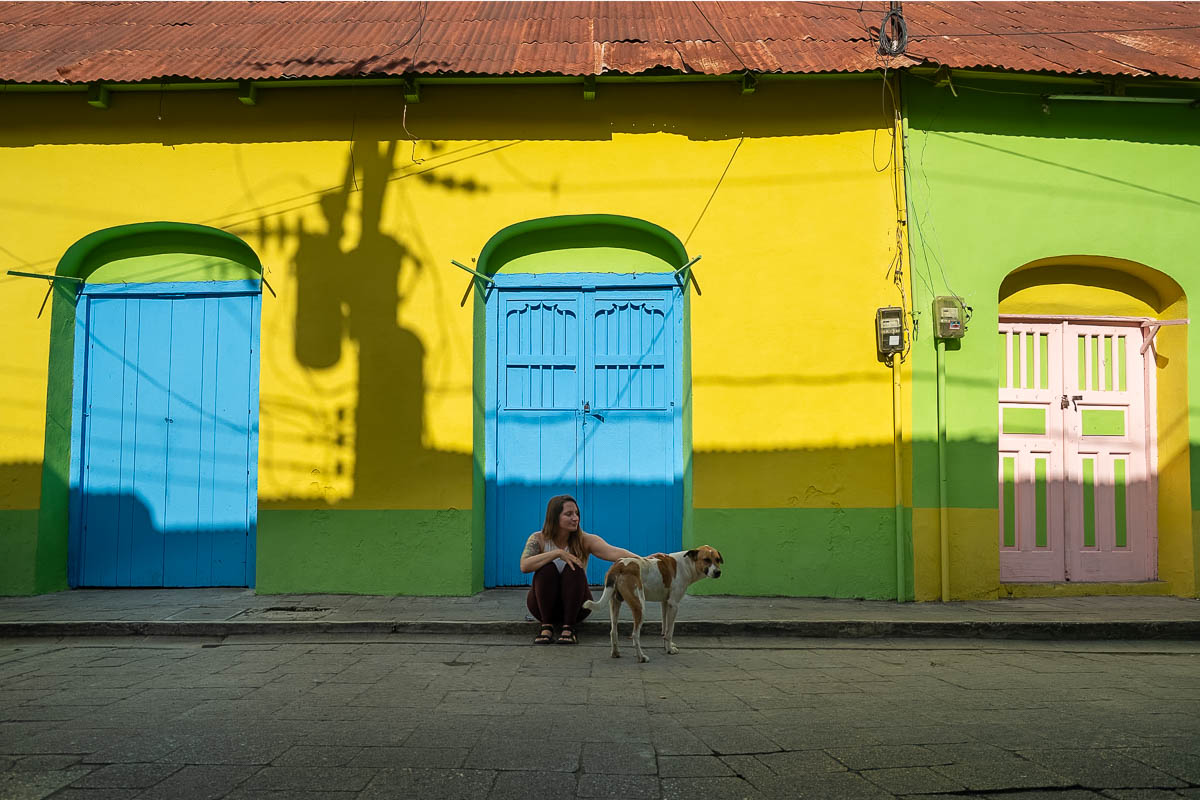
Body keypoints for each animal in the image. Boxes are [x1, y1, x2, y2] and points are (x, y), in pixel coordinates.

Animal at [580, 544, 720, 662]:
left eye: (718, 559)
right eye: (706, 559)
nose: (718, 572)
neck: (686, 564)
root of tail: (619, 565)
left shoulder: (665, 603)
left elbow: (665, 628)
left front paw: (666, 646)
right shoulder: (674, 605)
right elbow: (670, 631)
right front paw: (669, 649)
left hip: (614, 603)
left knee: (613, 631)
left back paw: (615, 653)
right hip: (640, 607)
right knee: (635, 635)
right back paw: (641, 657)